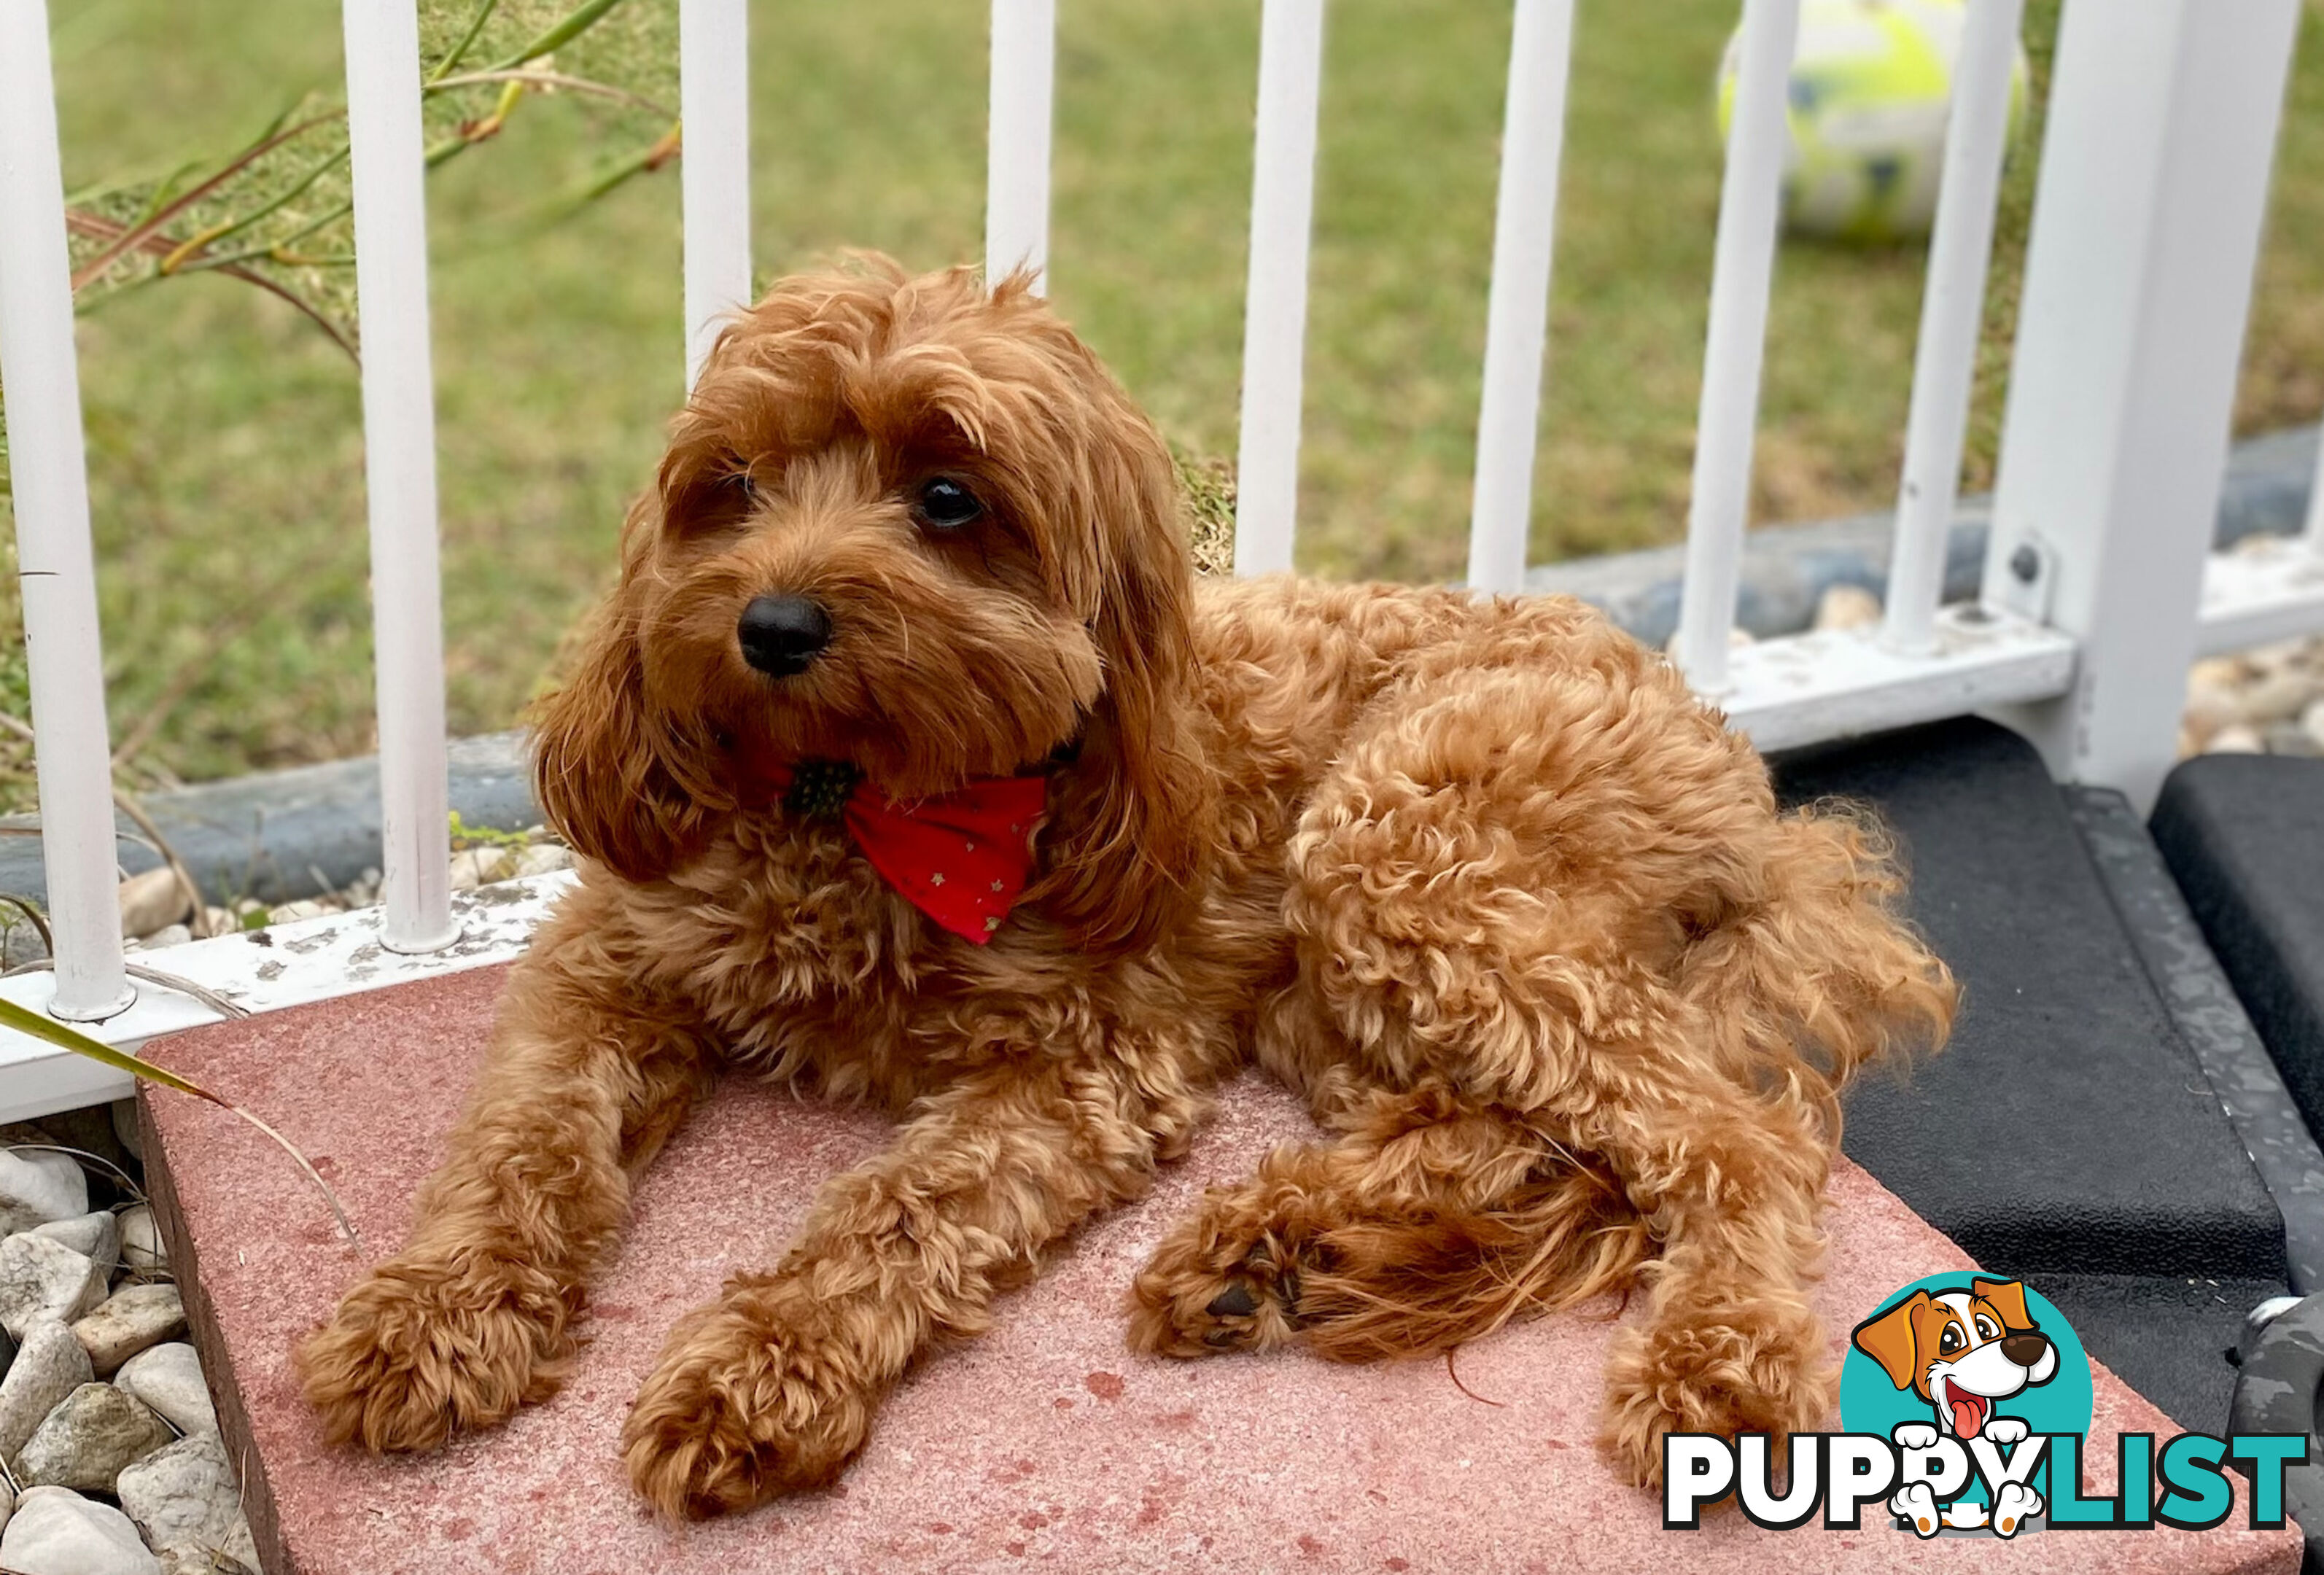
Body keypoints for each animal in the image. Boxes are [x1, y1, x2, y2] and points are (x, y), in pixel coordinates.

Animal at [300, 259, 1952, 1514]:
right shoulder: (610, 961)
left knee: (1728, 1142)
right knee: (1523, 1136)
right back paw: (1272, 1254)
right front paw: (437, 1314)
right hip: (1345, 984)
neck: (855, 811)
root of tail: (1741, 776)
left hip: (1397, 847)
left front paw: (760, 1369)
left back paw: (1710, 1363)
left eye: (948, 496)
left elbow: (894, 1212)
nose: (767, 626)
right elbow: (522, 1144)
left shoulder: (1090, 1060)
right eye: (736, 485)